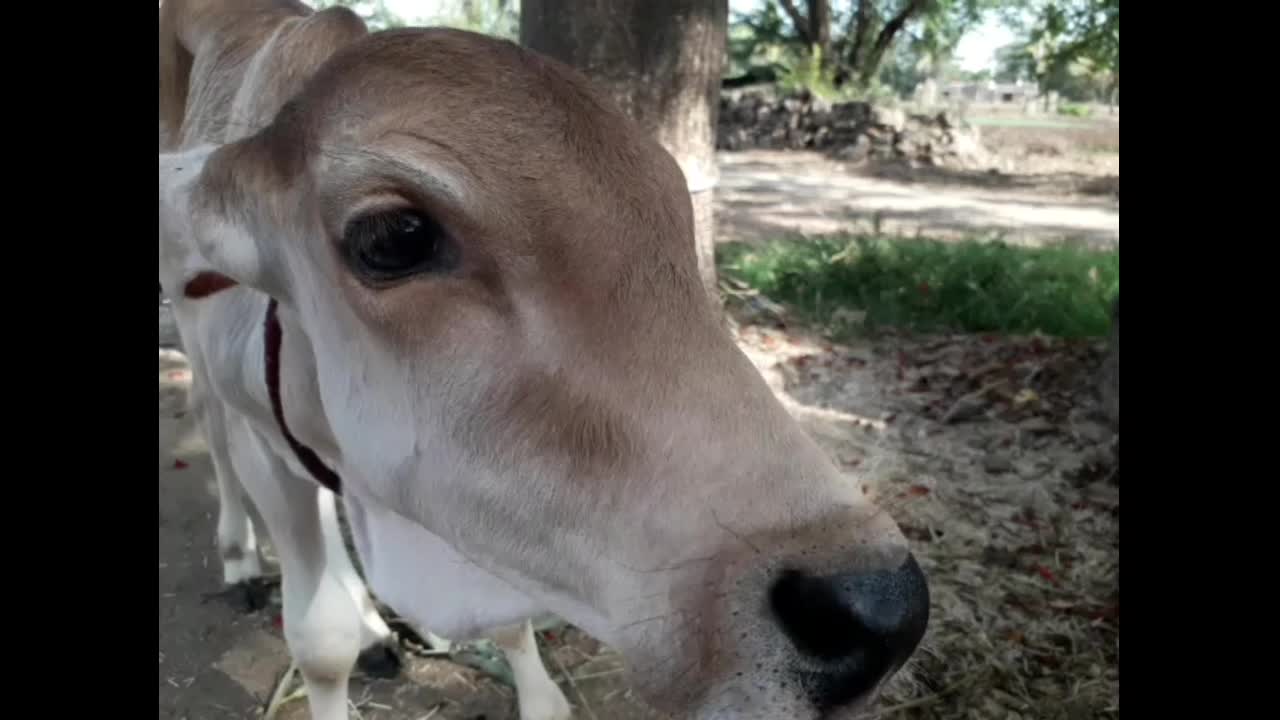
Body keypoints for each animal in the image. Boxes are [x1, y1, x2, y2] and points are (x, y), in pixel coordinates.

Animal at [157, 2, 931, 712]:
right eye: (394, 235)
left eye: (670, 214)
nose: (880, 610)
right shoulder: (264, 445)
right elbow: (320, 642)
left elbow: (510, 626)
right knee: (210, 427)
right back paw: (242, 559)